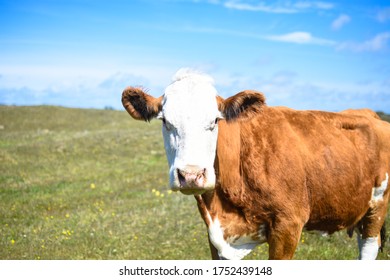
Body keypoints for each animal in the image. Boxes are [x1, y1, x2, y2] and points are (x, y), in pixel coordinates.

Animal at [122, 68, 390, 260]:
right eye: (165, 121)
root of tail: (369, 114)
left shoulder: (288, 225)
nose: (191, 175)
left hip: (378, 204)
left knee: (368, 247)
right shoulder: (214, 234)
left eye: (215, 121)